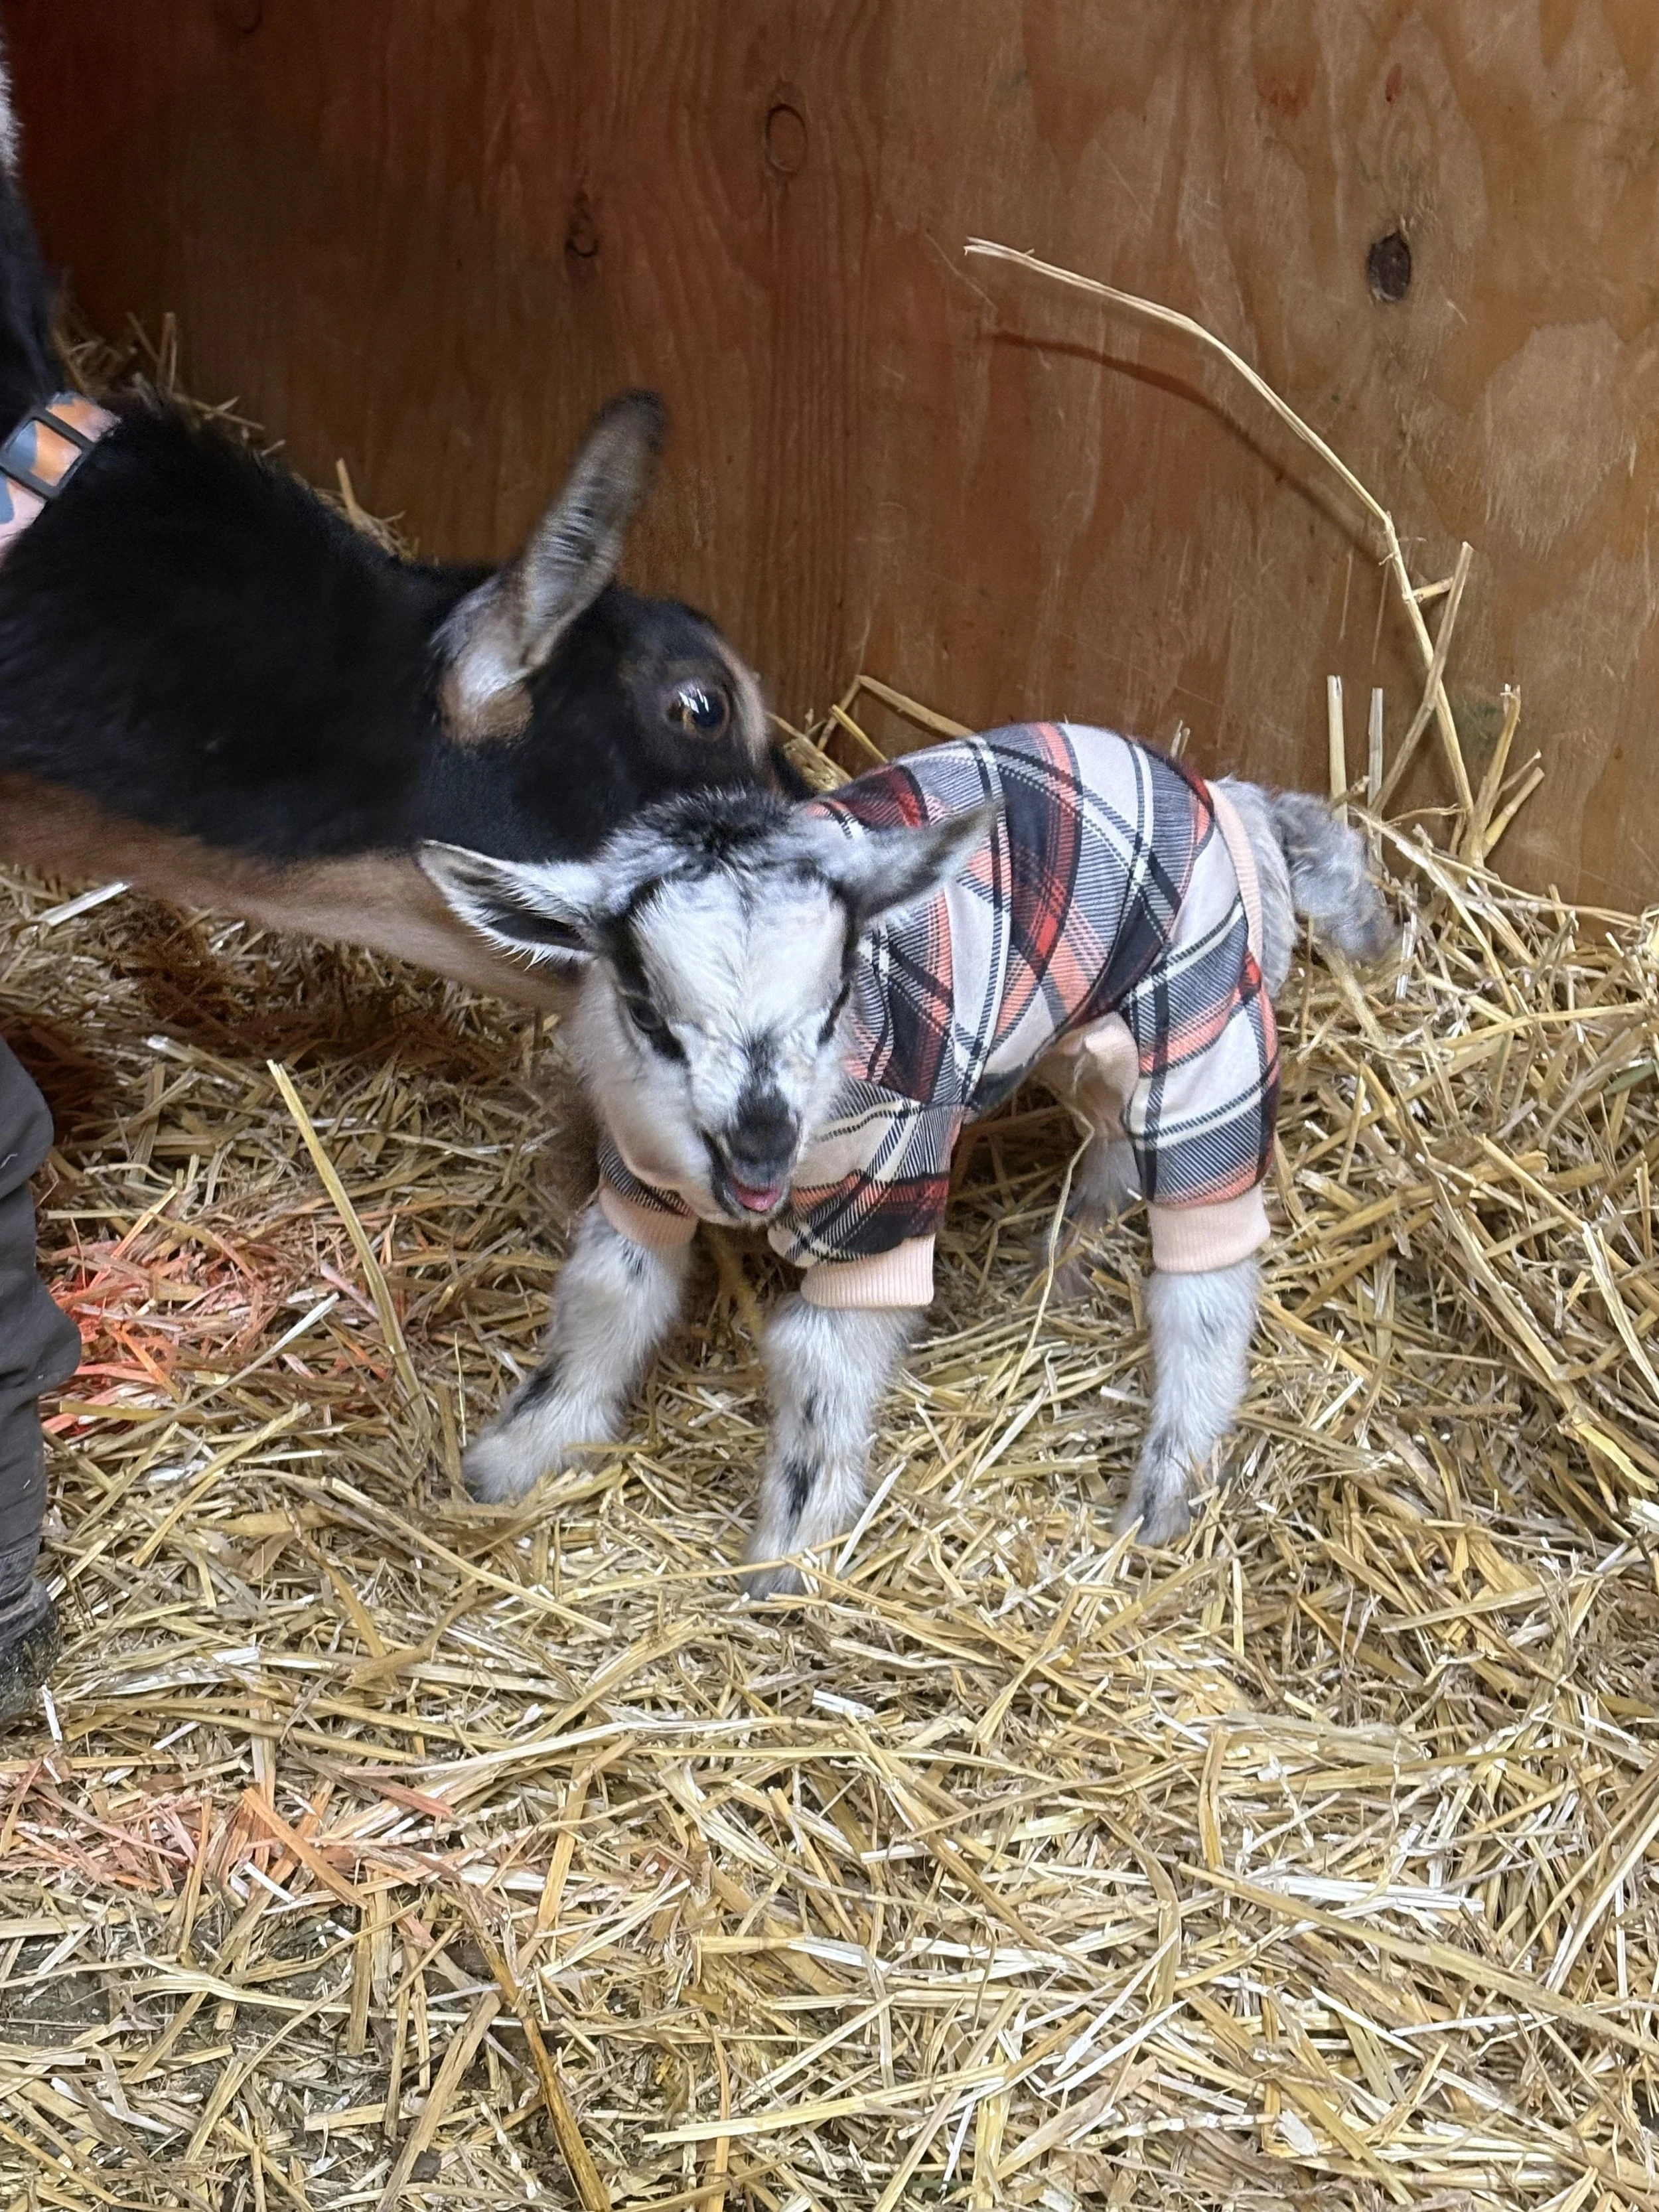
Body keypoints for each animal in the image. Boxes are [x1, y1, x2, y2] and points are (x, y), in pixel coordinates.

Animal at [421, 721, 1396, 1592]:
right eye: (648, 1012)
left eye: (835, 998)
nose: (762, 1142)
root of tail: (1227, 794)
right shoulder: (641, 1176)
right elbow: (610, 1292)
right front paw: (518, 1453)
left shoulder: (885, 1201)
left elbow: (819, 1360)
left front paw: (790, 1551)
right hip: (1077, 1029)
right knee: (1114, 1139)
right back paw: (1069, 1257)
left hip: (1205, 1025)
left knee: (1207, 1281)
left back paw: (1162, 1497)